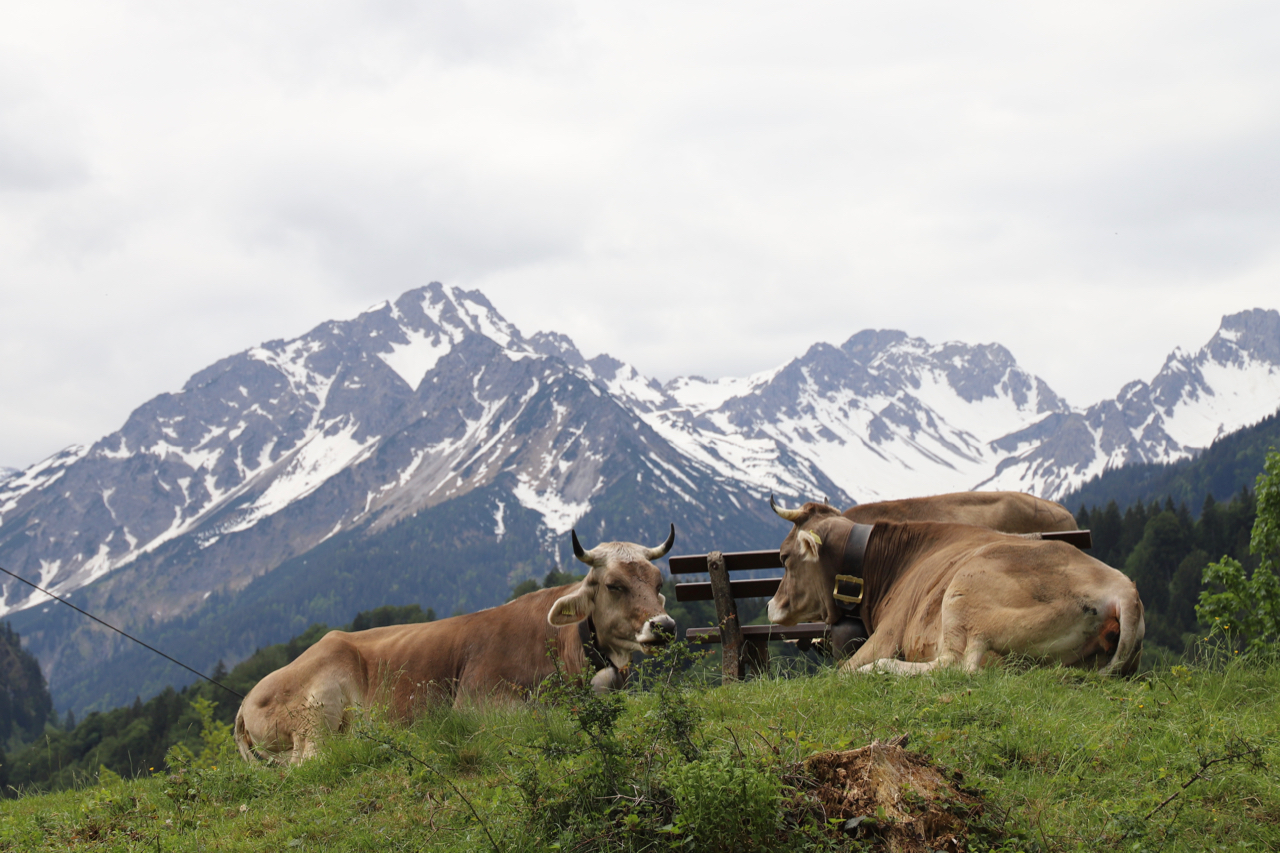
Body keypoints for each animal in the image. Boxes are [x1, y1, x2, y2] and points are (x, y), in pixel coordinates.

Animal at [234, 526, 677, 764]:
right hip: (320, 705)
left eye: (659, 582)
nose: (666, 625)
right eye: (614, 585)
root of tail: (246, 700)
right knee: (311, 759)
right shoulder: (479, 700)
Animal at [766, 502, 1144, 676]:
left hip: (965, 592)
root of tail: (1123, 589)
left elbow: (838, 672)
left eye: (783, 557)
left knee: (955, 667)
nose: (771, 605)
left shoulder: (887, 634)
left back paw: (879, 670)